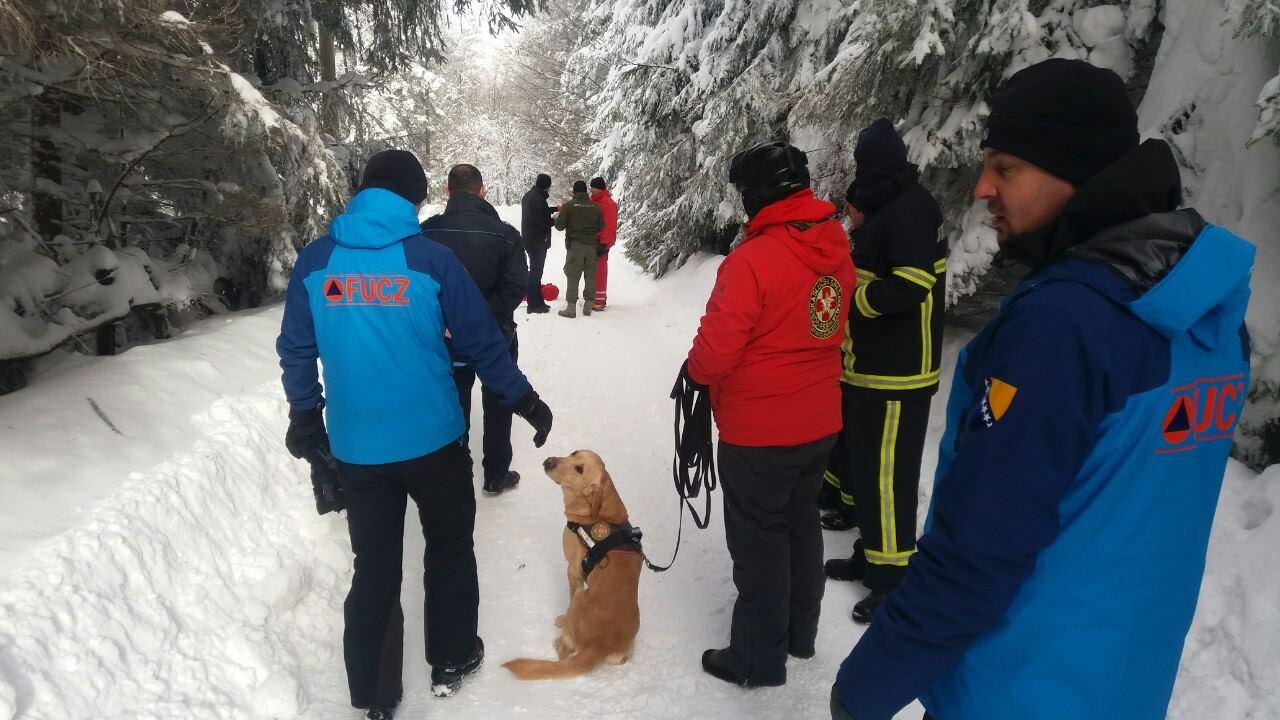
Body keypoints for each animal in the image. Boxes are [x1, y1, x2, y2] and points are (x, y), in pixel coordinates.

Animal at [499, 448, 640, 676]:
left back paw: (561, 633)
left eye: (579, 469)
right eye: (574, 453)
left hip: (580, 596)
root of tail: (600, 646)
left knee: (565, 652)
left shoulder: (573, 571)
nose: (549, 461)